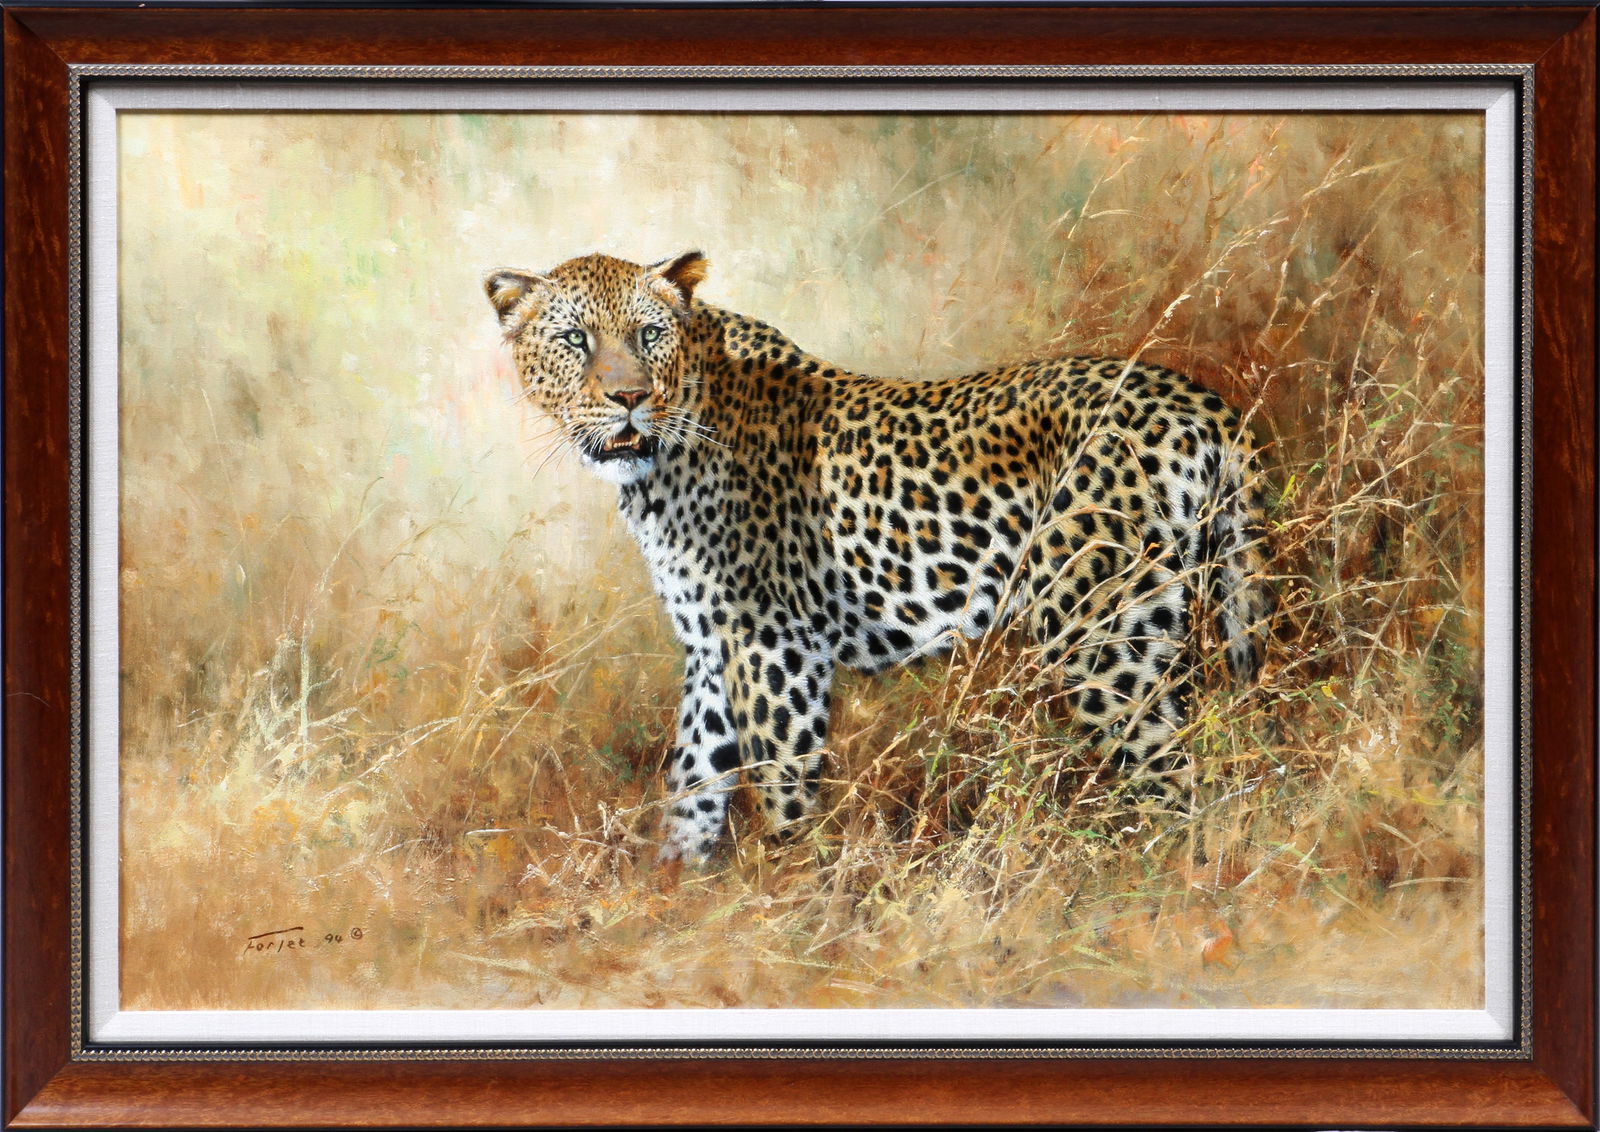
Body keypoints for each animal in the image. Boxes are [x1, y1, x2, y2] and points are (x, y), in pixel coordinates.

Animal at [485, 250, 1271, 865]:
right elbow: (696, 780)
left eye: (648, 334)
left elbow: (782, 784)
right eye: (574, 339)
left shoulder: (773, 645)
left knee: (1171, 776)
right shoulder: (713, 644)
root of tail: (1206, 406)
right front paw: (675, 887)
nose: (629, 397)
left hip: (1106, 631)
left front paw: (795, 898)